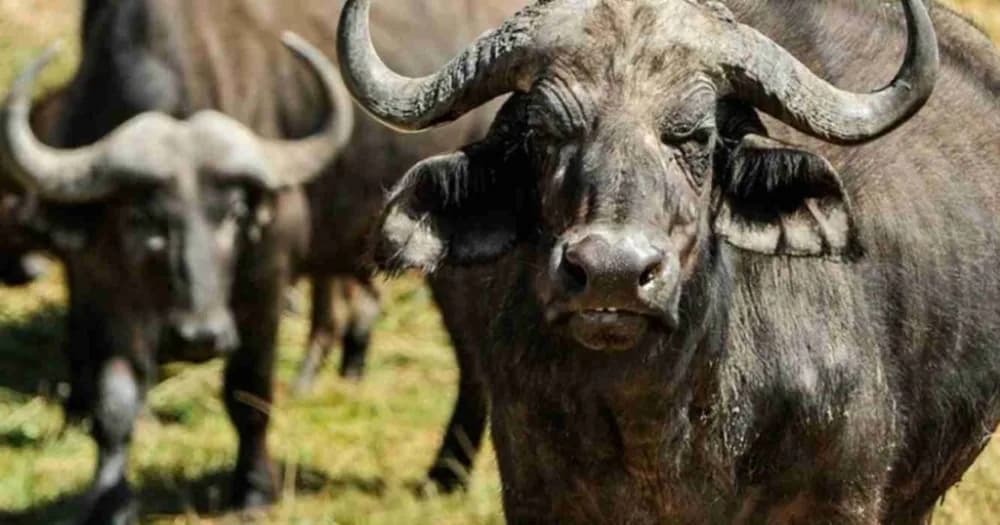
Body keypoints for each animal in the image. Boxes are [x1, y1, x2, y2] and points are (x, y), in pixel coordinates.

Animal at [342, 0, 1000, 522]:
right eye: (543, 134)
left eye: (695, 136)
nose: (611, 275)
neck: (656, 424)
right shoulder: (535, 493)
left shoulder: (843, 499)